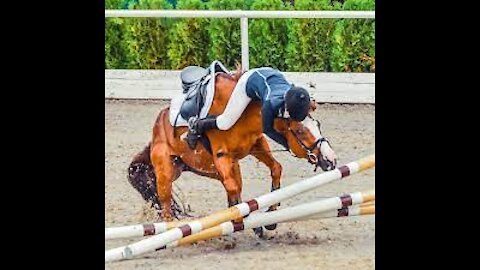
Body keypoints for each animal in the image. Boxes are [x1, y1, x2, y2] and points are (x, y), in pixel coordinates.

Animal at [127, 67, 338, 230]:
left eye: (318, 125)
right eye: (300, 131)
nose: (330, 159)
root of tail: (156, 130)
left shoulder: (256, 144)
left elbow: (275, 169)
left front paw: (270, 213)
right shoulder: (222, 156)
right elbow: (233, 188)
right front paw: (241, 219)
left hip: (204, 167)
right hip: (166, 172)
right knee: (166, 206)